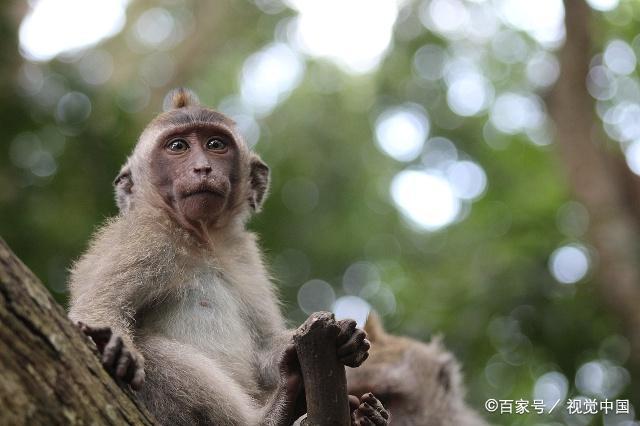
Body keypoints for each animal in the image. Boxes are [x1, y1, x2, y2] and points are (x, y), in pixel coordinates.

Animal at [70, 87, 390, 426]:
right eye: (178, 146)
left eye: (215, 145)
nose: (202, 168)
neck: (202, 238)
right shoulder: (146, 238)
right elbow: (99, 308)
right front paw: (112, 343)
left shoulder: (243, 253)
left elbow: (263, 347)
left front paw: (346, 338)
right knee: (151, 348)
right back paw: (278, 412)